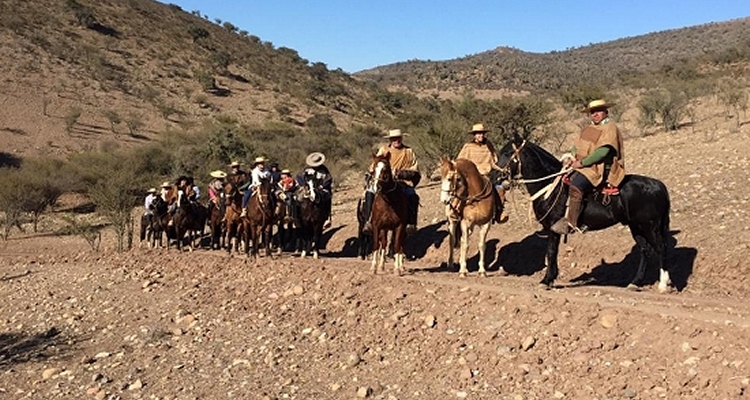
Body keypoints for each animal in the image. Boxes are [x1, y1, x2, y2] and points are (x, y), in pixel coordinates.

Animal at [500, 133, 676, 292]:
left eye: (508, 153)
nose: (497, 174)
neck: (550, 184)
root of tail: (659, 185)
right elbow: (552, 253)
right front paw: (550, 278)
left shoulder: (552, 227)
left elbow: (550, 253)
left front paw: (546, 280)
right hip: (636, 226)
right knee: (645, 250)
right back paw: (635, 283)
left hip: (649, 226)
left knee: (661, 248)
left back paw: (663, 285)